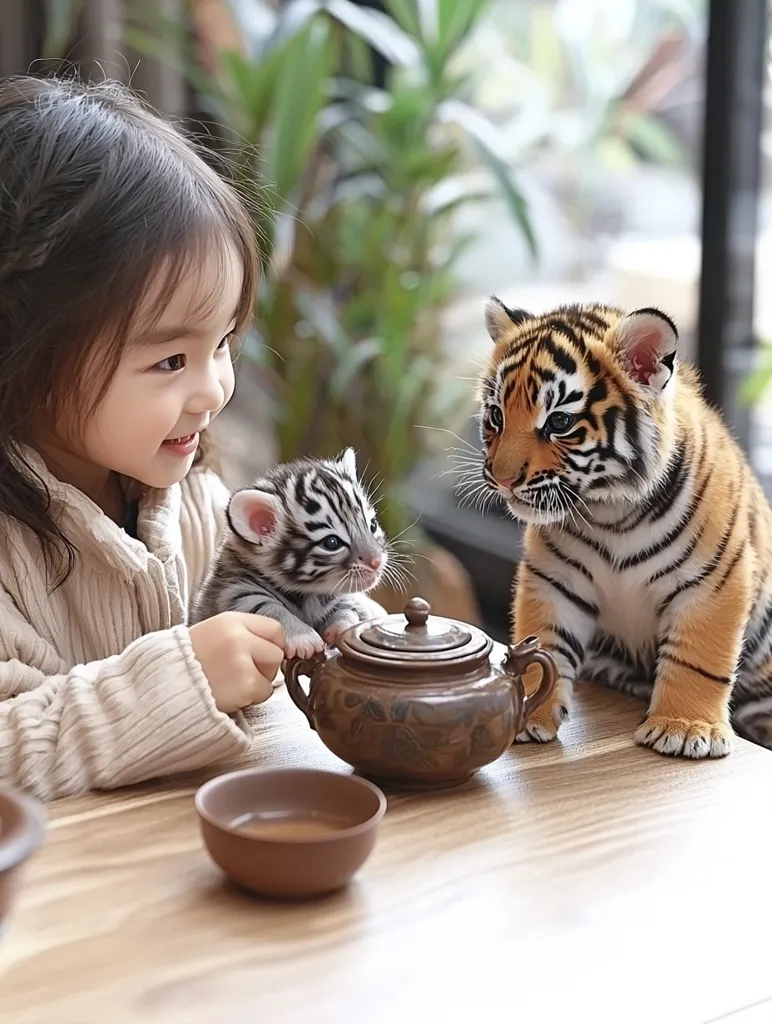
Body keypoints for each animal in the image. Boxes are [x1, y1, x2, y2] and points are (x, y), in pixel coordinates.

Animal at [474, 296, 772, 757]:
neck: (610, 509)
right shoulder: (555, 578)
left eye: (559, 423)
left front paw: (685, 728)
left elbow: (697, 657)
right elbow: (546, 642)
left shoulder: (715, 580)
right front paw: (530, 715)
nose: (501, 479)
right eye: (495, 416)